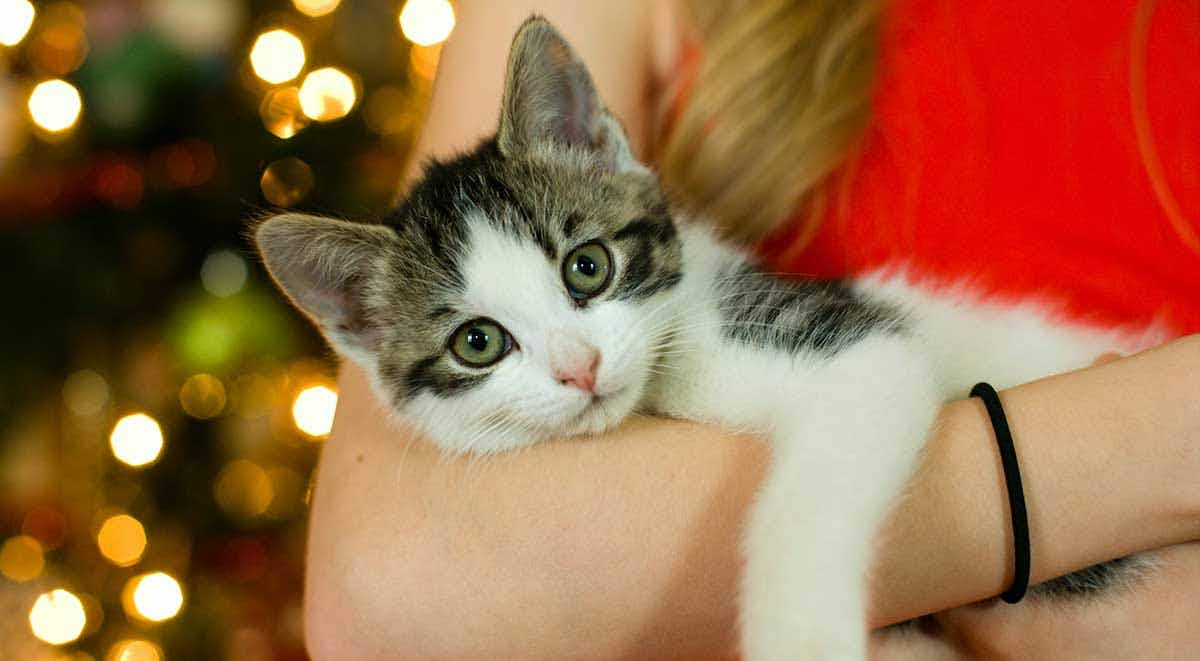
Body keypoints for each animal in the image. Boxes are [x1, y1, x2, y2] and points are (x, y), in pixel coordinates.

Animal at [258, 16, 1156, 661]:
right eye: (478, 343)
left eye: (588, 266)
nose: (580, 368)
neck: (672, 370)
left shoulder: (861, 347)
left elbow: (810, 493)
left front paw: (802, 638)